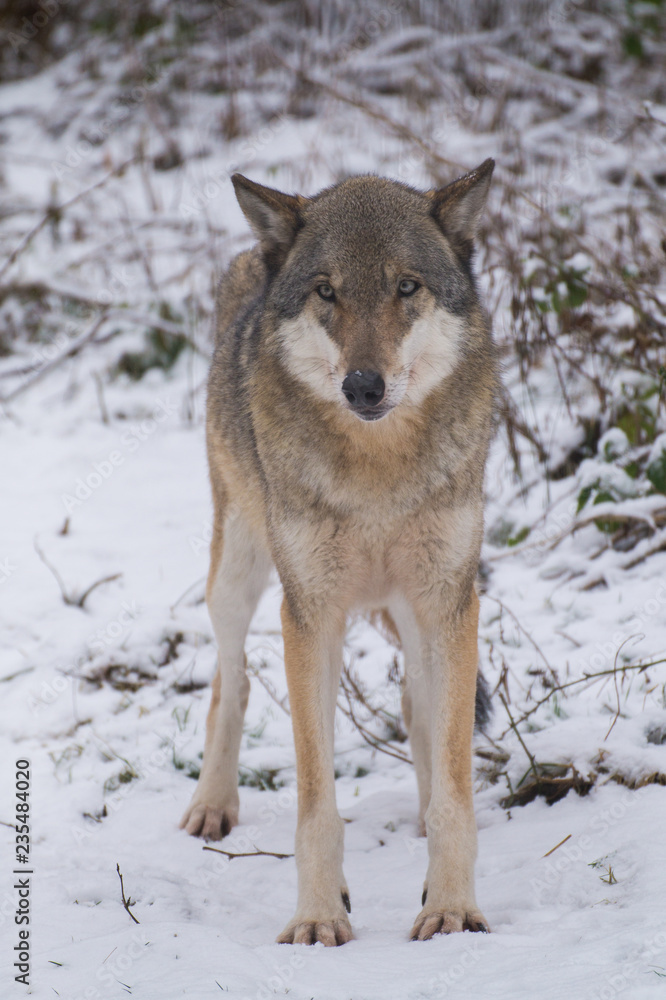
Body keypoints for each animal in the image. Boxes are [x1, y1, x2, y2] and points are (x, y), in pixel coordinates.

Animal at [179, 162, 496, 944]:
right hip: (237, 575)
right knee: (230, 680)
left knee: (417, 707)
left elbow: (455, 785)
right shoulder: (310, 617)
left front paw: (450, 907)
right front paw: (320, 917)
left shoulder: (451, 603)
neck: (377, 474)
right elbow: (315, 805)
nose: (362, 384)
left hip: (415, 615)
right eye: (327, 291)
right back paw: (213, 803)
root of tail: (251, 258)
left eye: (406, 287)